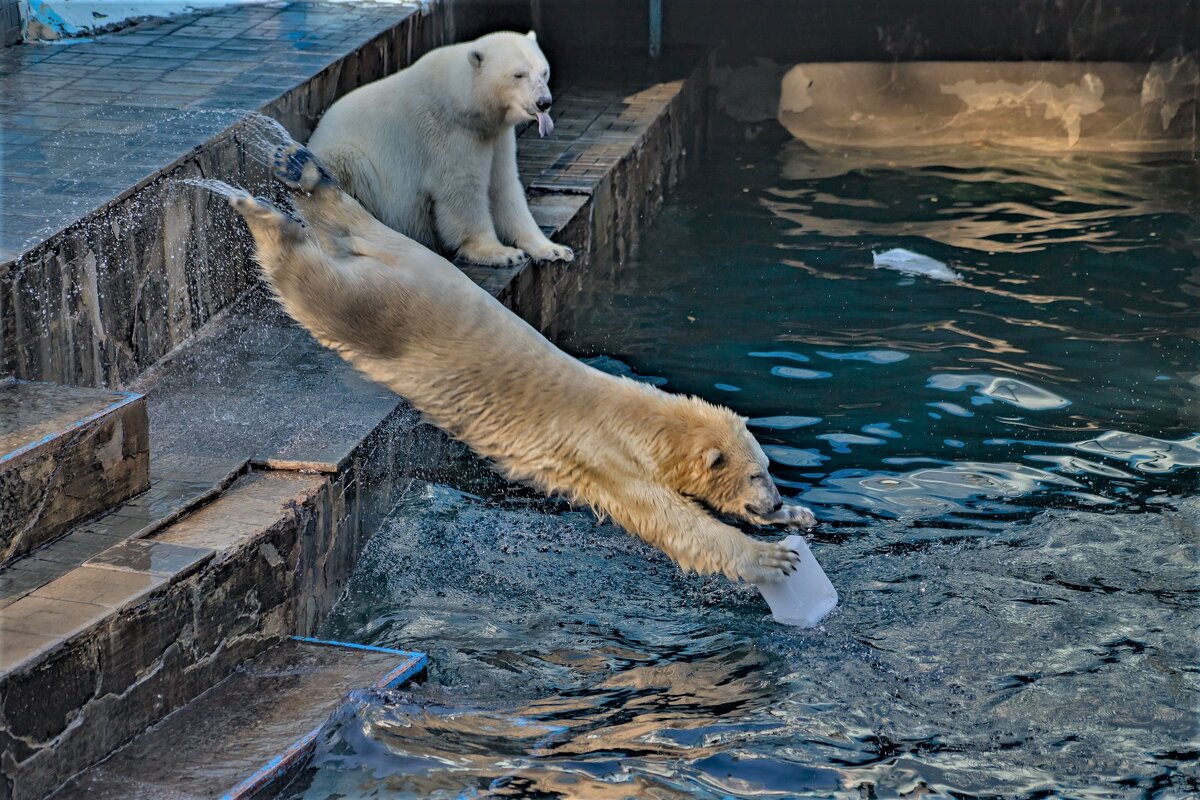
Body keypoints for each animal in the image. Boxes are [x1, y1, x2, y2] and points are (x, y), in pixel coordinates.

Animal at [223, 145, 816, 582]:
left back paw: (304, 171)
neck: (639, 419)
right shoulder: (606, 458)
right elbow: (672, 523)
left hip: (410, 258)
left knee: (357, 223)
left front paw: (799, 516)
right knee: (320, 289)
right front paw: (773, 558)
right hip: (388, 314)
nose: (773, 499)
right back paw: (261, 213)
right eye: (757, 471)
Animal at [307, 32, 573, 268]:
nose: (544, 102)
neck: (461, 101)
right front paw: (501, 253)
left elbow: (503, 187)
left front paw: (554, 249)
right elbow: (462, 190)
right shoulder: (446, 134)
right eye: (518, 74)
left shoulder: (495, 136)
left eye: (544, 71)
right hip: (342, 159)